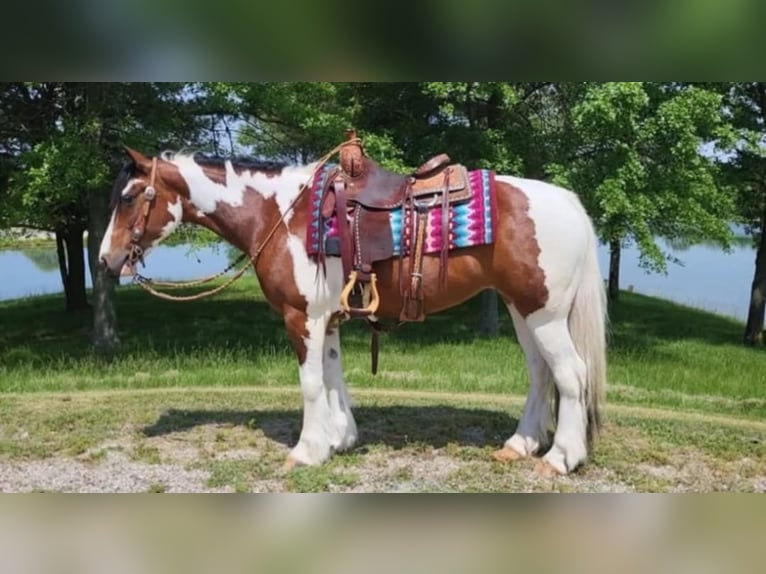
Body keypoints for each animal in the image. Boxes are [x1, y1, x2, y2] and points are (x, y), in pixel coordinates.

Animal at [98, 137, 607, 476]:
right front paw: (338, 439)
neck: (280, 214)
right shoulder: (328, 319)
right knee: (541, 373)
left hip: (543, 314)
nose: (105, 259)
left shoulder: (301, 317)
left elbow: (309, 385)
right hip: (523, 311)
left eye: (129, 197)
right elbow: (332, 379)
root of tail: (568, 202)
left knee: (571, 375)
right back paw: (520, 445)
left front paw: (306, 451)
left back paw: (561, 458)